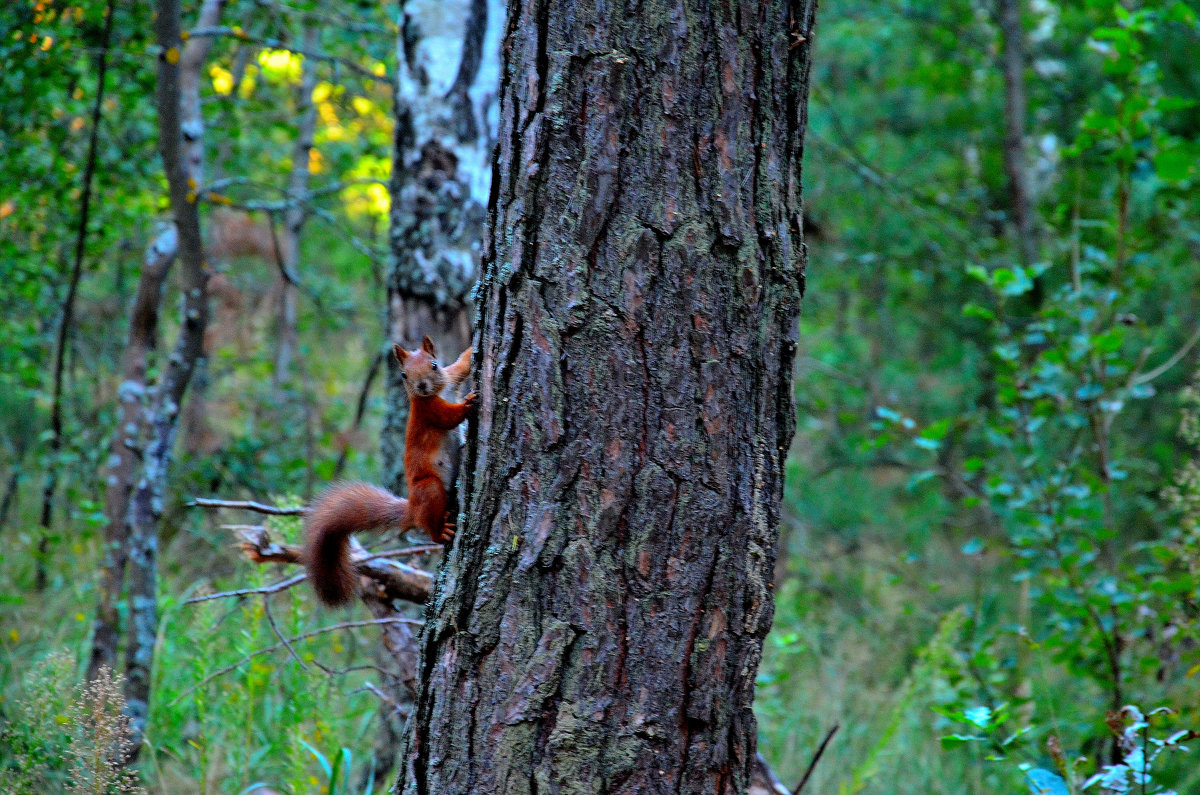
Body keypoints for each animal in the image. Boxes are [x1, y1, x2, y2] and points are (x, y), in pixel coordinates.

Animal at [302, 338, 475, 607]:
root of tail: (412, 509)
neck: (434, 393)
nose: (421, 386)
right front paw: (468, 403)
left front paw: (470, 352)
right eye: (404, 375)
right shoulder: (429, 411)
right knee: (430, 527)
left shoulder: (450, 378)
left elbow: (461, 367)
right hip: (429, 488)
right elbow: (449, 417)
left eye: (434, 364)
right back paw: (441, 532)